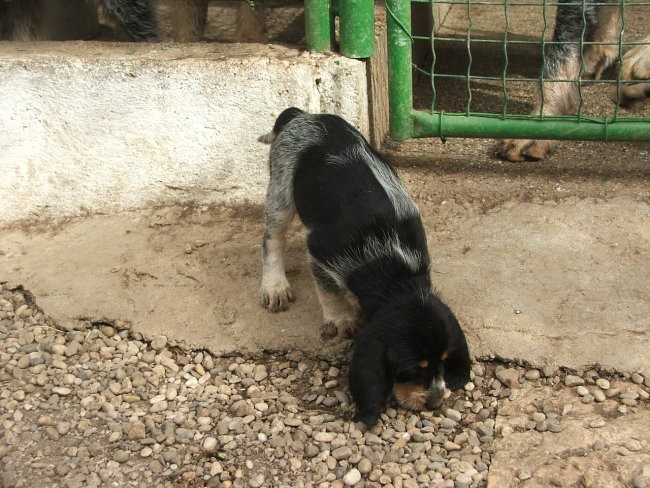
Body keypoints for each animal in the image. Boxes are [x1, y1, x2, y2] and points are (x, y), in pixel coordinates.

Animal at [256, 107, 468, 428]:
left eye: (444, 360)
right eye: (412, 369)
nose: (434, 403)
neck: (394, 269)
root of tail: (304, 115)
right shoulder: (319, 249)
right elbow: (329, 289)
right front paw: (340, 319)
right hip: (280, 190)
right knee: (273, 240)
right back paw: (274, 287)